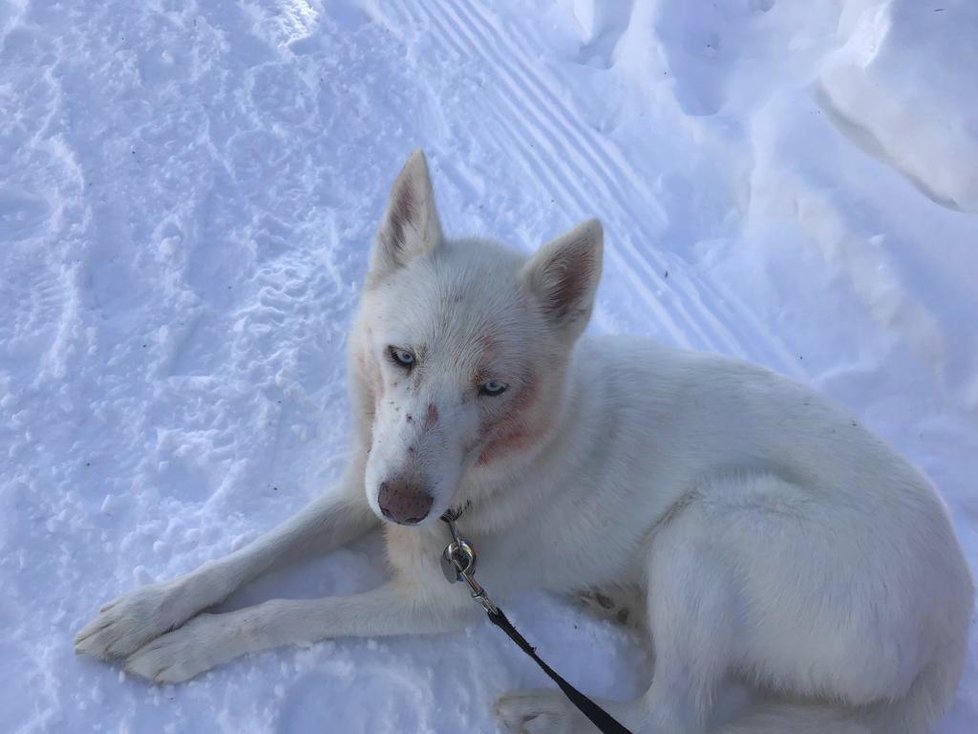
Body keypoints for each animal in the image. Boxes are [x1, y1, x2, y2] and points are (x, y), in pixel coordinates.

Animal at [74, 152, 968, 732]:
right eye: (403, 357)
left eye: (493, 388)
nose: (404, 505)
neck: (491, 473)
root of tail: (953, 621)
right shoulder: (362, 486)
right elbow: (246, 561)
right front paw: (147, 612)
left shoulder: (436, 603)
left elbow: (286, 611)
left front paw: (190, 647)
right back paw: (615, 602)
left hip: (716, 521)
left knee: (676, 714)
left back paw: (548, 709)